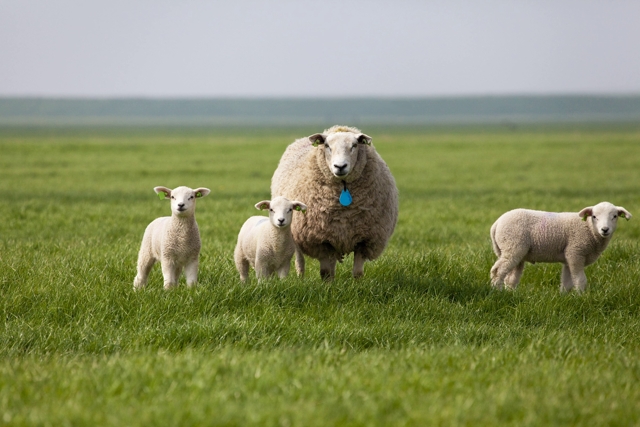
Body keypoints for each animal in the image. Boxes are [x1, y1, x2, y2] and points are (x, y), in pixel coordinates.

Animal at [272, 125, 400, 280]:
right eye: (327, 146)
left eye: (354, 145)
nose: (340, 166)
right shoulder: (321, 240)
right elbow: (326, 272)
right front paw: (328, 286)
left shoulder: (365, 240)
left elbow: (357, 272)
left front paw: (357, 285)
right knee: (300, 258)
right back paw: (300, 276)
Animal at [490, 202, 632, 292]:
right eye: (594, 216)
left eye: (614, 216)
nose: (605, 229)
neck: (589, 228)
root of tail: (496, 223)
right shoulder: (575, 252)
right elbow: (580, 280)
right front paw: (581, 297)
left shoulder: (568, 258)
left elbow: (567, 282)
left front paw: (565, 297)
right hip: (513, 246)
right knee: (498, 271)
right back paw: (498, 292)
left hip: (515, 252)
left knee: (511, 278)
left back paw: (511, 294)